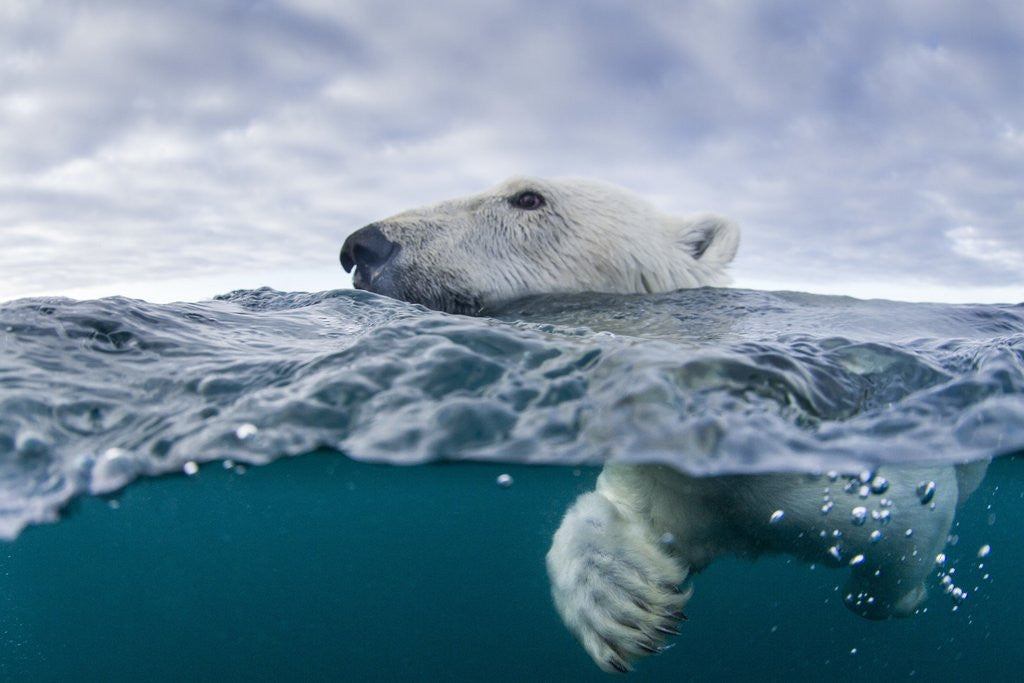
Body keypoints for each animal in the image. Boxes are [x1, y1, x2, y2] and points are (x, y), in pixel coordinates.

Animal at [340, 176, 988, 673]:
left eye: (527, 198)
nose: (361, 246)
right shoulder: (675, 478)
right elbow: (630, 520)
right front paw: (624, 604)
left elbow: (905, 532)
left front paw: (895, 592)